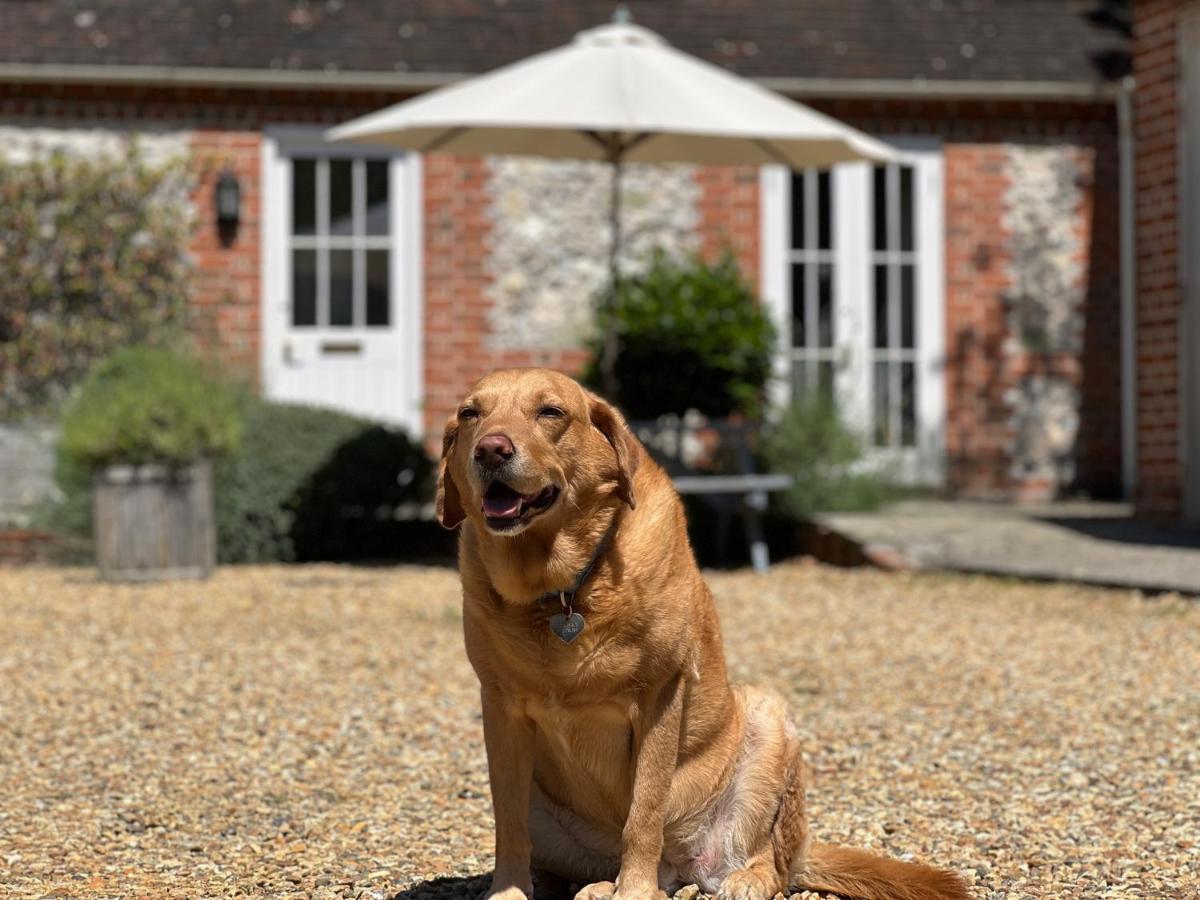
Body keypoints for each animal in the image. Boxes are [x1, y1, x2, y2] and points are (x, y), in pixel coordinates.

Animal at [436, 367, 969, 900]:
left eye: (551, 412)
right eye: (470, 414)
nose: (491, 450)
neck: (566, 588)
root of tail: (679, 867)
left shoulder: (660, 695)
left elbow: (644, 811)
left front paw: (632, 891)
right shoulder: (500, 707)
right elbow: (508, 821)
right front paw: (508, 892)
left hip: (767, 720)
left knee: (770, 861)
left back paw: (737, 880)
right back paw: (597, 886)